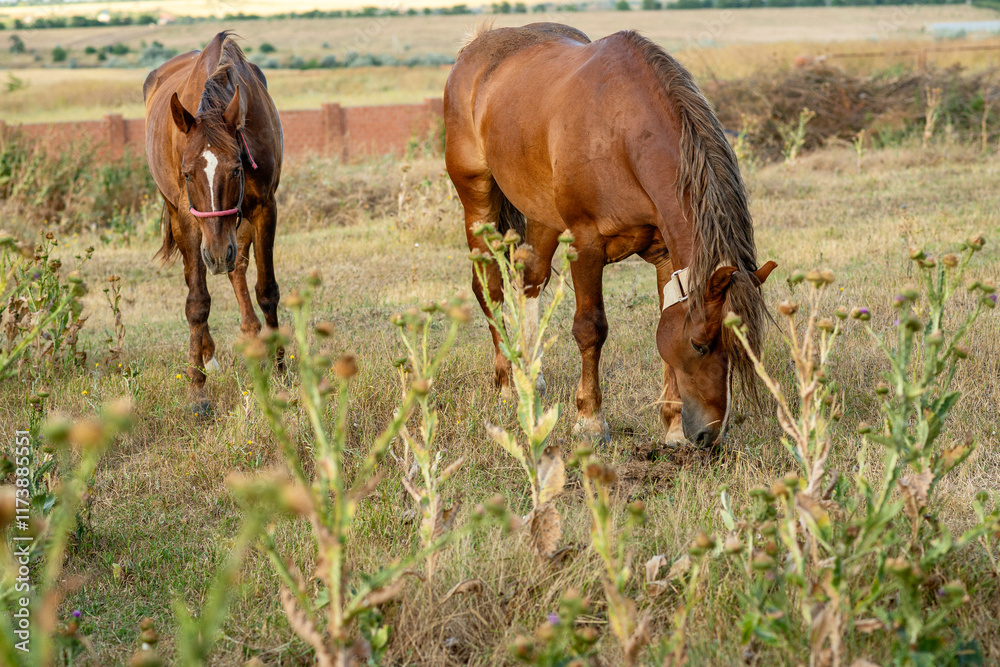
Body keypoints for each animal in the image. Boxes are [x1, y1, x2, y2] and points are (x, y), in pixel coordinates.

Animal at [143, 32, 284, 412]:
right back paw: (208, 354)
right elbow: (197, 303)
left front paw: (282, 369)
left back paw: (251, 334)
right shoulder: (190, 220)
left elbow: (267, 290)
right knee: (196, 279)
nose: (218, 255)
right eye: (187, 174)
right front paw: (197, 391)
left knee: (239, 270)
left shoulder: (264, 208)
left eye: (236, 169)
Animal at [444, 23, 776, 447]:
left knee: (530, 280)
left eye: (742, 350)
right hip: (477, 201)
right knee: (489, 288)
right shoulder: (586, 244)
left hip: (541, 213)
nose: (707, 436)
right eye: (700, 346)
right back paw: (506, 386)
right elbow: (590, 329)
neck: (622, 133)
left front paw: (672, 428)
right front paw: (589, 421)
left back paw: (532, 376)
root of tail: (475, 45)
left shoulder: (664, 253)